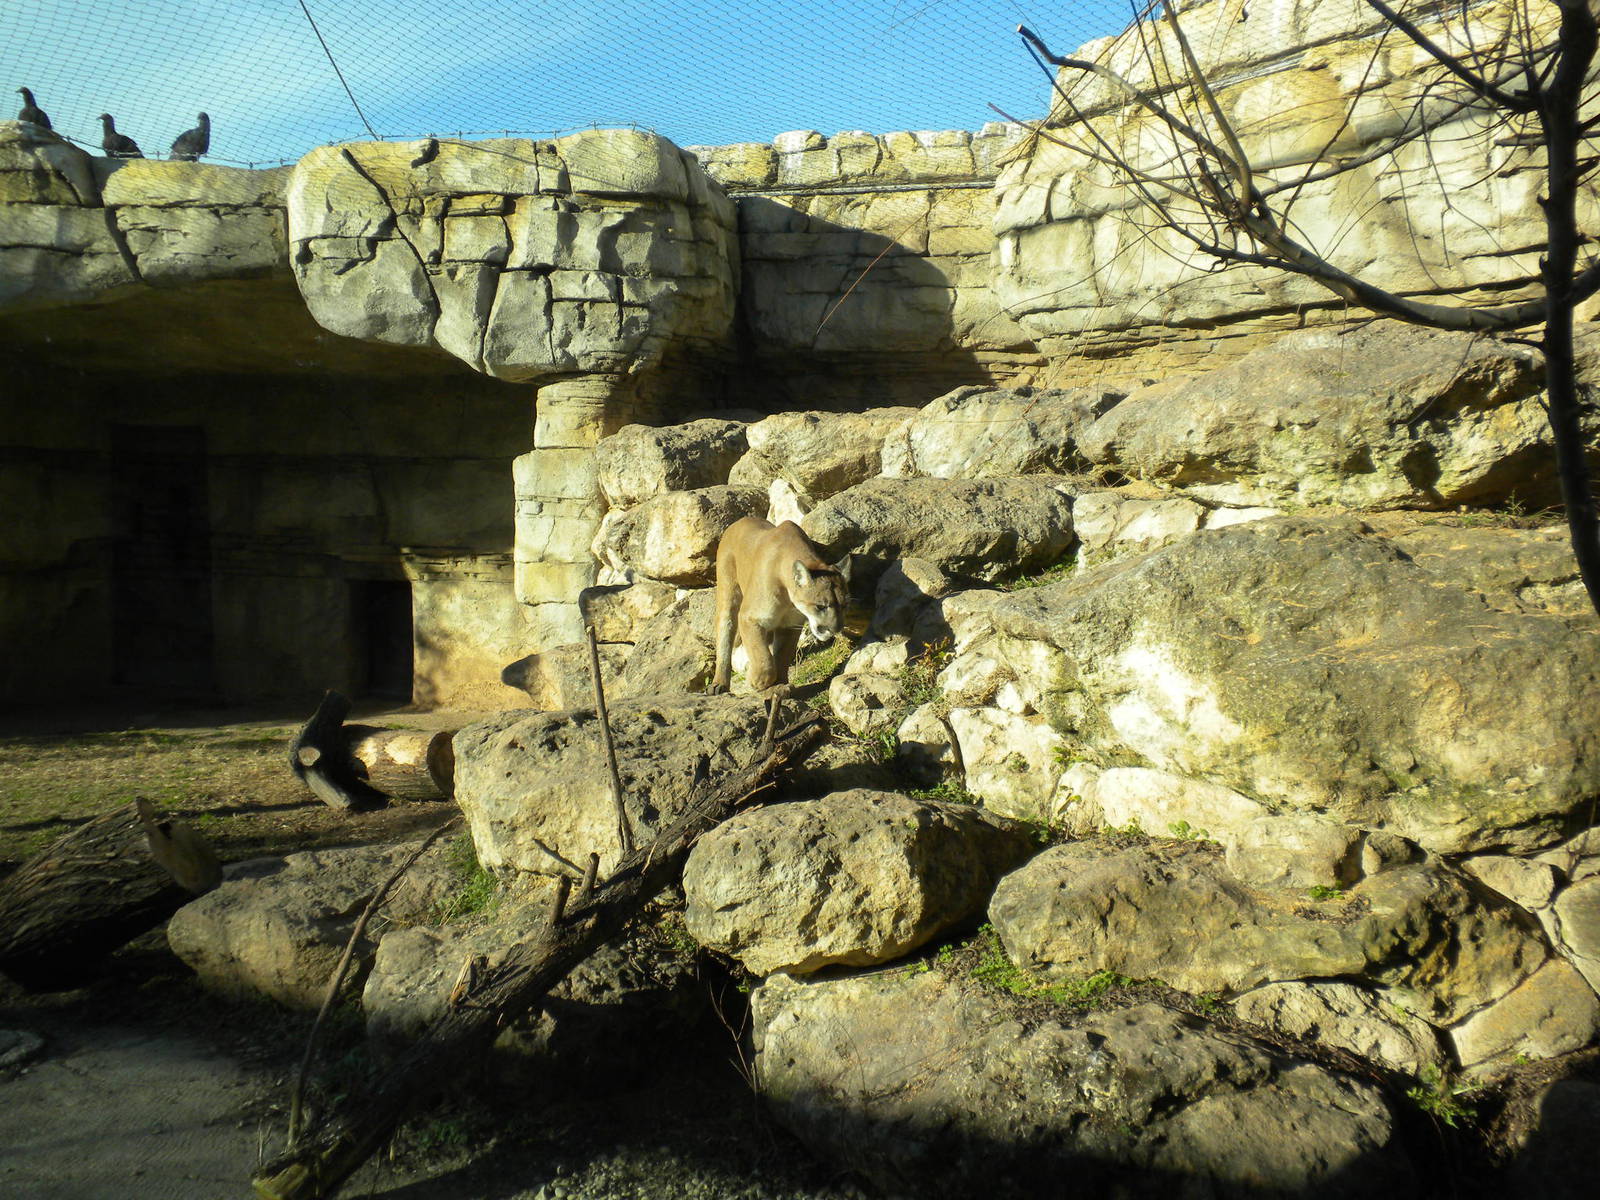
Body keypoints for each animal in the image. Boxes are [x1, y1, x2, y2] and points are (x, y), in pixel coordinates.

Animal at [708, 517, 850, 693]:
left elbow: (782, 655)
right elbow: (762, 655)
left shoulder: (790, 624)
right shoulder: (749, 617)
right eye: (820, 606)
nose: (836, 628)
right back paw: (719, 684)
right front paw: (758, 681)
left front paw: (780, 684)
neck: (788, 597)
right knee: (725, 632)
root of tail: (739, 521)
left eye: (844, 605)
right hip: (728, 592)